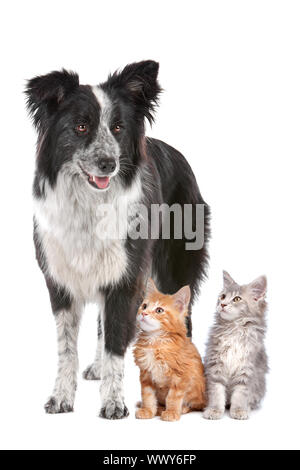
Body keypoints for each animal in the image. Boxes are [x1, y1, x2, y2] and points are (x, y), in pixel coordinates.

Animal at [134, 280, 206, 422]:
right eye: (144, 306)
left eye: (159, 310)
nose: (143, 314)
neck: (155, 342)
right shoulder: (146, 374)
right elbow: (147, 395)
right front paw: (148, 410)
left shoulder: (180, 375)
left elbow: (173, 397)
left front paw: (172, 412)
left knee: (195, 405)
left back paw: (181, 409)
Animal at [203, 270, 268, 420]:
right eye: (222, 296)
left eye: (237, 299)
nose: (222, 304)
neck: (234, 329)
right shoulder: (216, 365)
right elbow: (216, 391)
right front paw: (214, 410)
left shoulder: (247, 367)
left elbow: (241, 394)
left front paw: (239, 410)